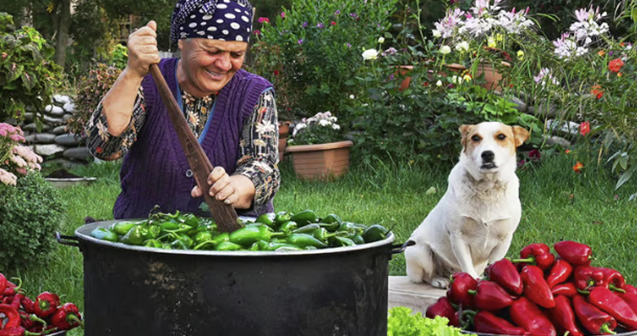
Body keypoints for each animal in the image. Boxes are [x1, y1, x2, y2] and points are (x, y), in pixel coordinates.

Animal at [404, 122, 528, 288]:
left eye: (501, 136)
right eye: (475, 138)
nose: (487, 154)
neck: (487, 189)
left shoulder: (504, 239)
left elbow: (495, 263)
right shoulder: (458, 236)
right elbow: (467, 266)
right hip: (418, 251)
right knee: (427, 275)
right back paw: (439, 280)